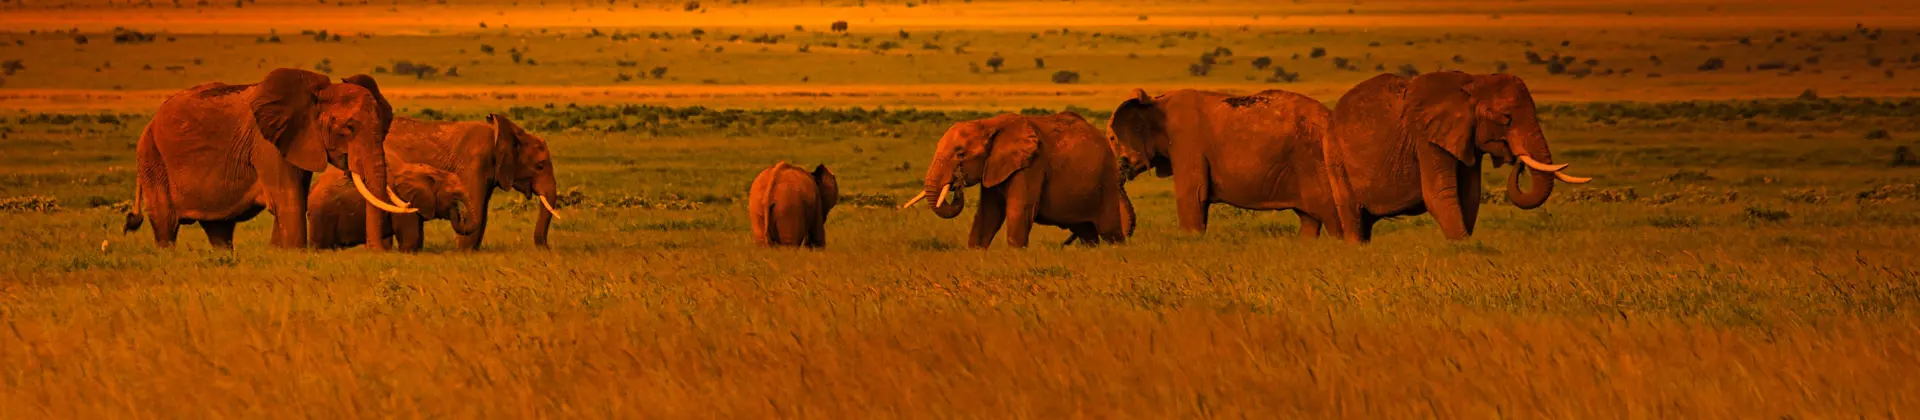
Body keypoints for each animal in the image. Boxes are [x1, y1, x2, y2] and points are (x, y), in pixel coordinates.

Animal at [122, 68, 416, 249]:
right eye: (348, 129)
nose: (378, 250)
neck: (314, 95)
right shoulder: (266, 143)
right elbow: (289, 200)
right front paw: (293, 252)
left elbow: (294, 197)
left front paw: (278, 251)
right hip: (151, 156)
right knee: (166, 222)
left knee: (219, 230)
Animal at [380, 113, 563, 250]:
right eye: (540, 166)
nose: (547, 248)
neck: (500, 135)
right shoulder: (474, 164)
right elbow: (477, 207)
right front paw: (464, 252)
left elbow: (482, 210)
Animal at [900, 112, 1135, 248]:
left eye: (960, 154)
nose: (957, 181)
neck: (988, 124)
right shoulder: (994, 165)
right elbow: (988, 213)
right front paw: (976, 251)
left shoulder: (1031, 164)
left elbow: (1018, 210)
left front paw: (1016, 253)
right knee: (1086, 232)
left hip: (1106, 178)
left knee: (1109, 231)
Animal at [1106, 88, 1343, 238]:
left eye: (1111, 139)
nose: (1123, 166)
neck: (1154, 102)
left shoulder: (1186, 141)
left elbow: (1193, 195)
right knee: (1309, 220)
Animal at [1325, 72, 1592, 242]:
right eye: (1506, 118)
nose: (1517, 162)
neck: (1472, 82)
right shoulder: (1426, 139)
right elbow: (1439, 195)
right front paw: (1462, 245)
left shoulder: (1466, 138)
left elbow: (1469, 195)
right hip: (1334, 154)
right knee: (1352, 214)